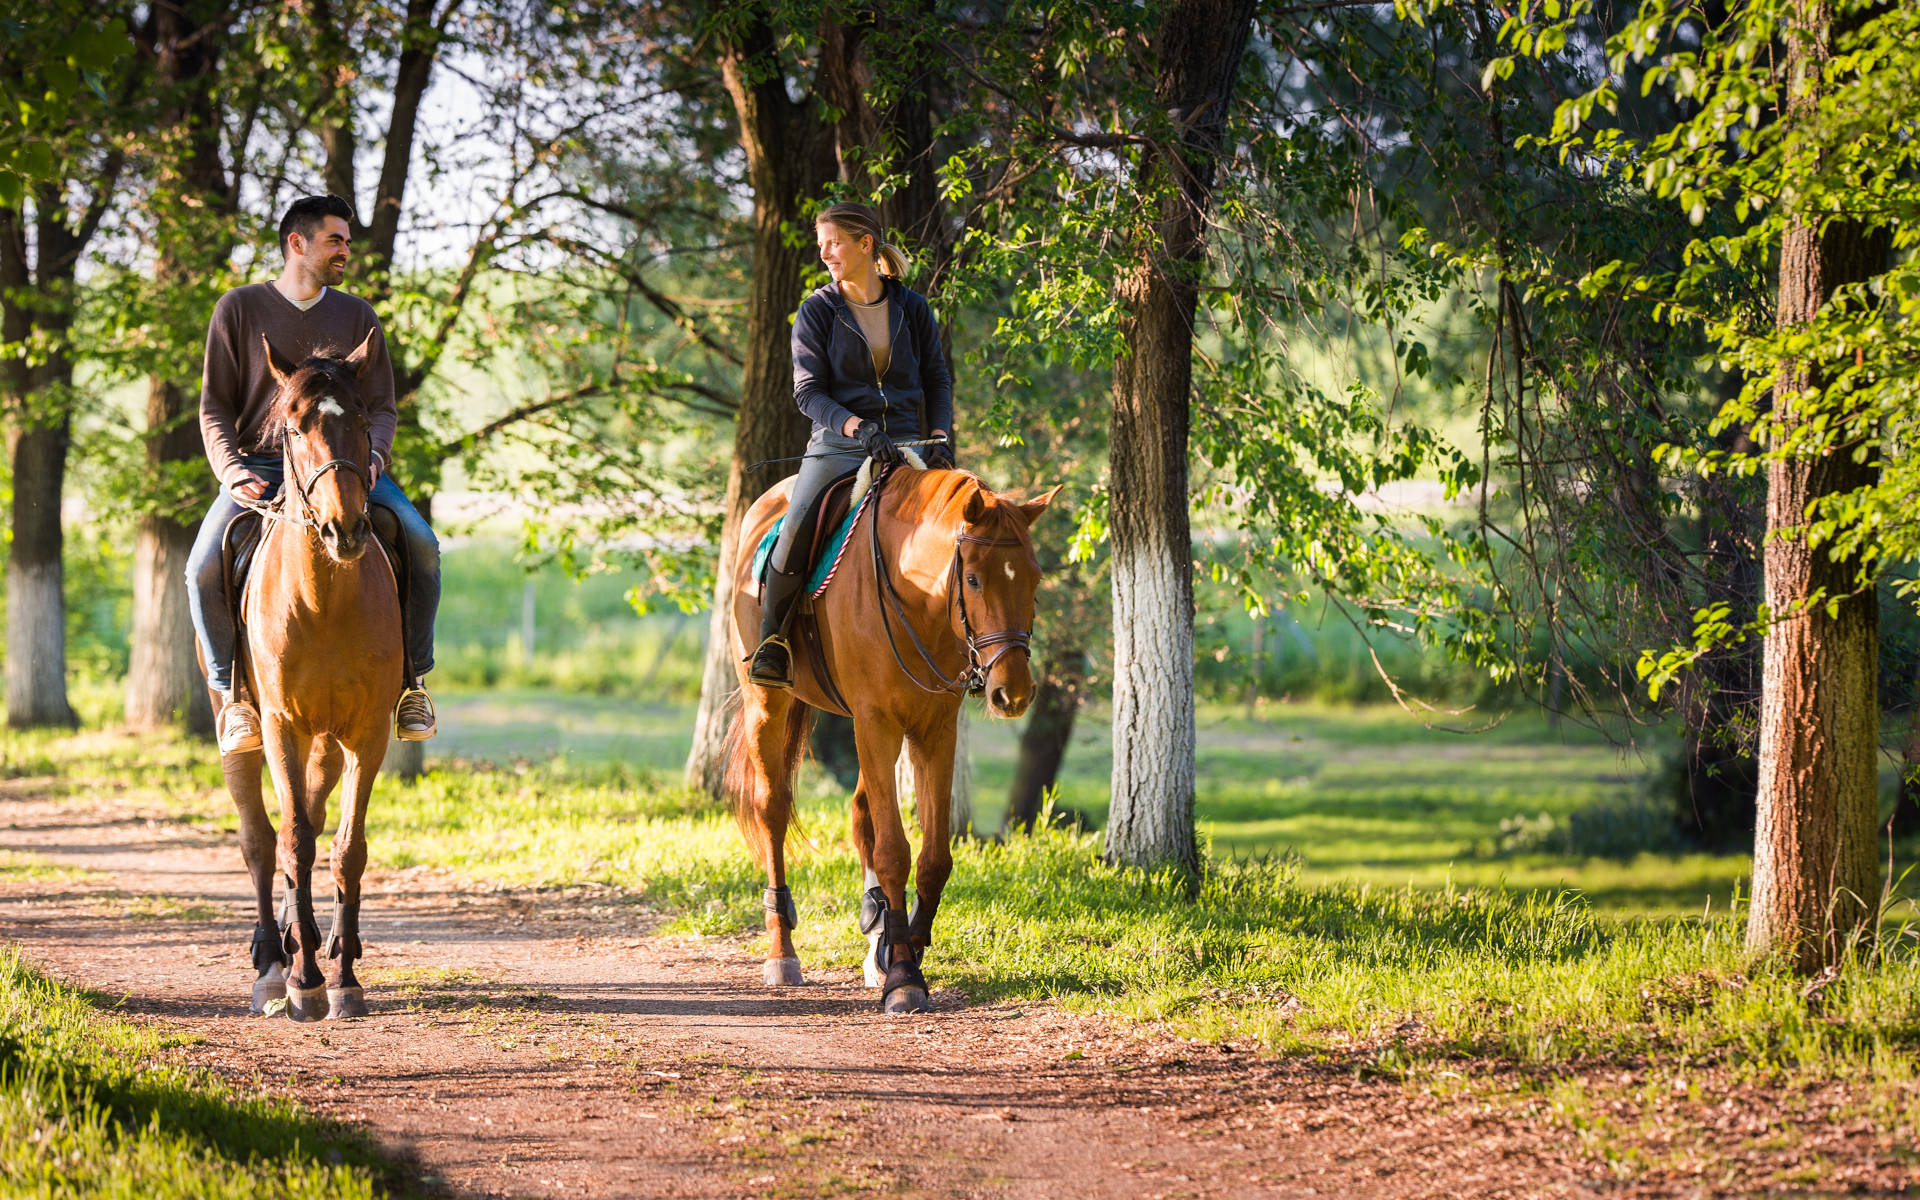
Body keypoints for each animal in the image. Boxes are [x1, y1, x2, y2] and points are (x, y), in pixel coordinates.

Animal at [210, 330, 405, 1021]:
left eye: (362, 424)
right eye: (293, 429)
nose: (345, 529)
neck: (323, 600)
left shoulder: (366, 734)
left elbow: (347, 846)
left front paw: (343, 977)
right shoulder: (282, 728)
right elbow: (291, 841)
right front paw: (302, 982)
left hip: (328, 742)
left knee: (317, 822)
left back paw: (311, 937)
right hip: (242, 730)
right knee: (260, 839)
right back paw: (273, 959)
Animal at [721, 462, 1059, 1006]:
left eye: (1034, 578)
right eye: (973, 578)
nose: (1014, 693)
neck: (915, 597)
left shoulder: (933, 730)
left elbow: (933, 857)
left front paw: (905, 947)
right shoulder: (876, 722)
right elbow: (894, 852)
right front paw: (903, 975)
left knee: (862, 815)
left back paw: (875, 938)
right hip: (769, 707)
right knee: (772, 811)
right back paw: (782, 954)